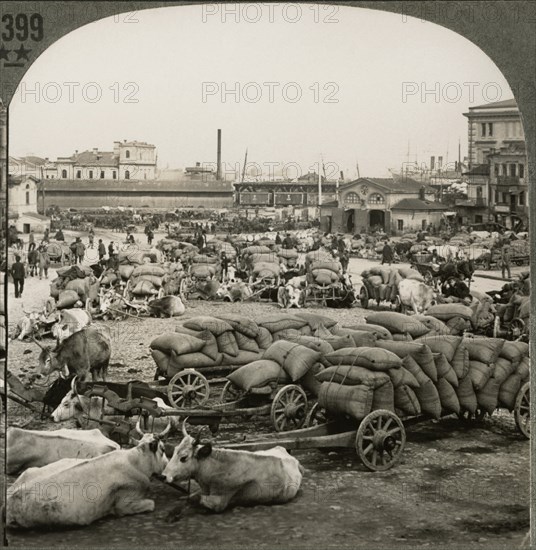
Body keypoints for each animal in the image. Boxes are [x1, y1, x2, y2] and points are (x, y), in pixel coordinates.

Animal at [161, 420, 304, 516]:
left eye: (184, 457)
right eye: (174, 450)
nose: (163, 476)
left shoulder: (219, 502)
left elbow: (193, 498)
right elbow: (190, 496)